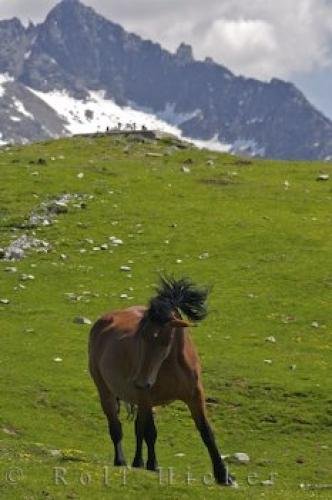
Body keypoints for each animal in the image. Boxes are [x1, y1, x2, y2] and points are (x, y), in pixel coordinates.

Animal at [88, 276, 233, 486]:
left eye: (161, 338)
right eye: (140, 336)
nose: (140, 381)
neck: (171, 364)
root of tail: (102, 322)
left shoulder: (195, 396)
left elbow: (206, 432)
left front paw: (223, 475)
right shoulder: (147, 397)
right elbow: (150, 432)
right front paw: (152, 465)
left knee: (138, 427)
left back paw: (138, 461)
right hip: (107, 392)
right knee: (117, 427)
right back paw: (122, 461)